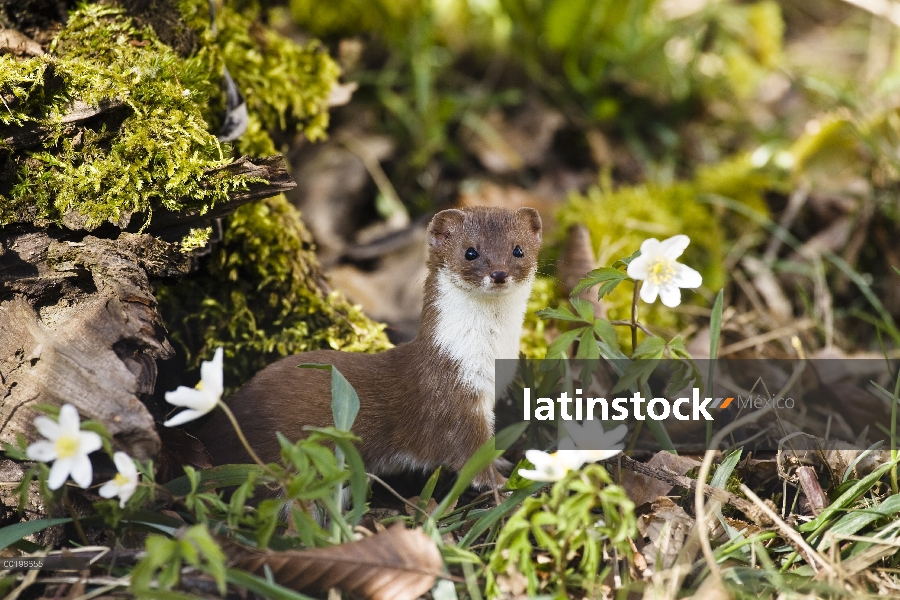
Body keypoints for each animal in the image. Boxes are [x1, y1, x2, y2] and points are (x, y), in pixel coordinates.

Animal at [199, 206, 540, 488]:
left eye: (518, 249)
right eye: (470, 252)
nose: (498, 273)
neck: (490, 358)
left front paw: (502, 460)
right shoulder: (451, 399)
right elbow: (467, 455)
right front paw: (501, 483)